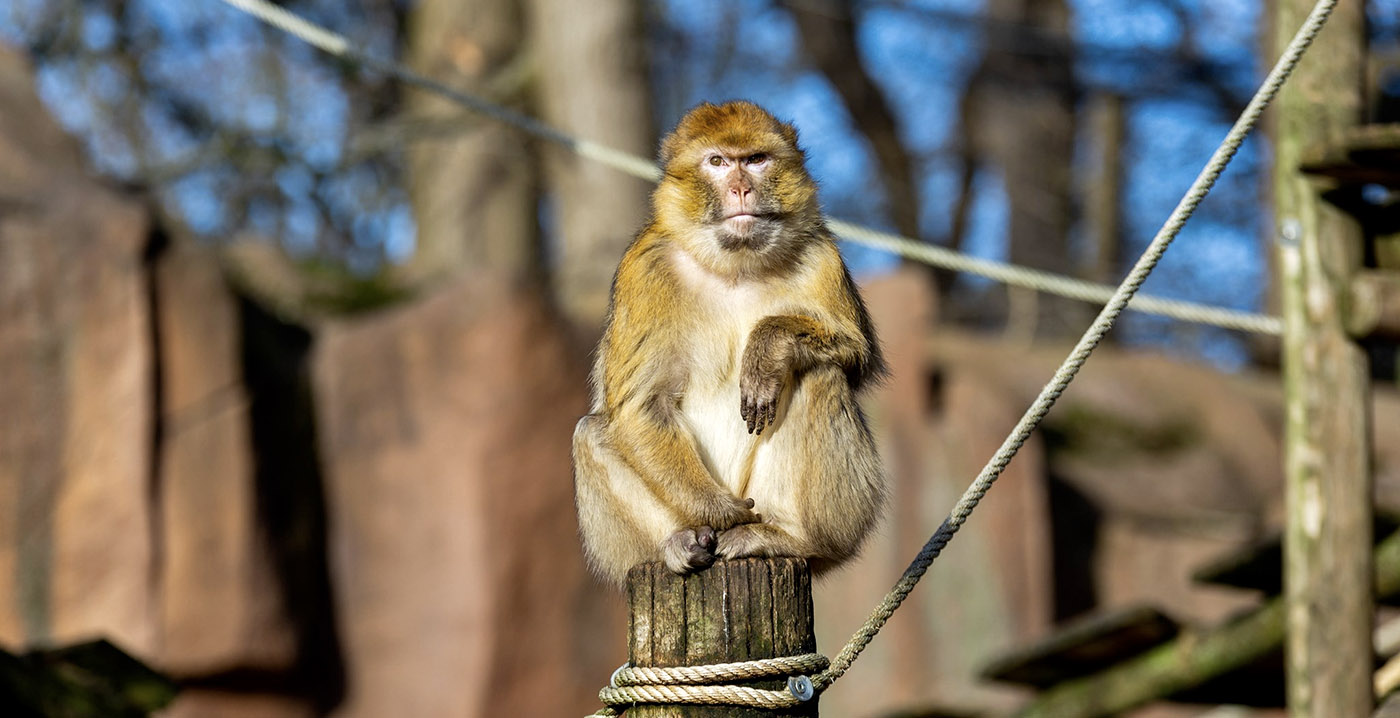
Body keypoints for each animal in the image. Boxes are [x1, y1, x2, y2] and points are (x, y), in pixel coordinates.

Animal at [571, 100, 884, 585]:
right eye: (717, 162)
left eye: (755, 160)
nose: (740, 188)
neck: (735, 263)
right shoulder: (644, 268)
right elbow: (641, 405)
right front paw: (719, 512)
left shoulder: (822, 255)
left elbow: (856, 354)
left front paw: (767, 347)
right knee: (590, 431)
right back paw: (681, 541)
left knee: (819, 375)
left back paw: (788, 537)